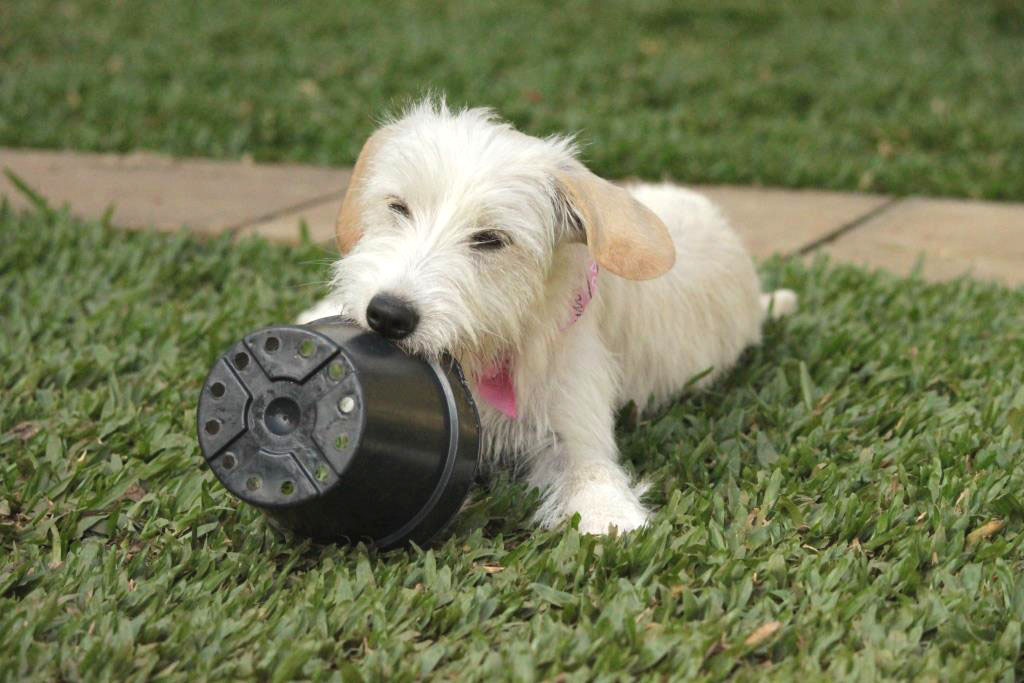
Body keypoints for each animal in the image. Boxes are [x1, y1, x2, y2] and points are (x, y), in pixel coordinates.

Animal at [298, 99, 797, 535]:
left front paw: (609, 521)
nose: (387, 315)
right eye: (398, 207)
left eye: (491, 240)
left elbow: (591, 477)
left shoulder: (572, 430)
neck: (496, 344)